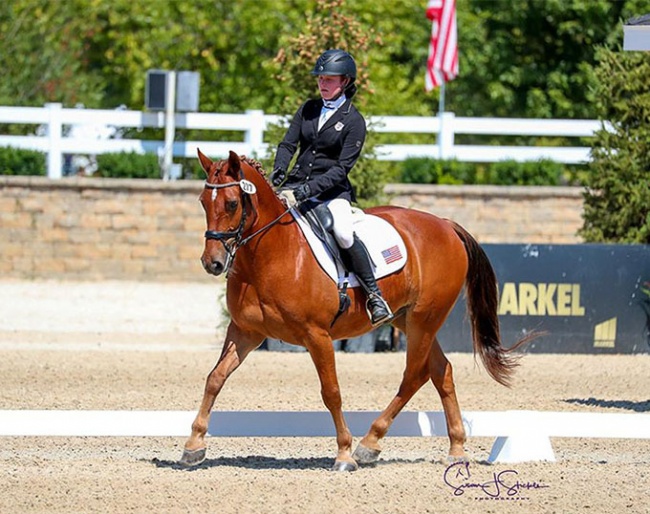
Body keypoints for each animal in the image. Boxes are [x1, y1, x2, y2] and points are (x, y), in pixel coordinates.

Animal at [178, 147, 532, 468]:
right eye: (203, 202)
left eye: (232, 203)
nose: (212, 263)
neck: (271, 254)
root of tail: (445, 224)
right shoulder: (245, 331)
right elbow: (215, 378)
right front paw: (193, 445)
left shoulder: (317, 336)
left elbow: (331, 391)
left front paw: (345, 453)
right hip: (407, 319)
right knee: (441, 372)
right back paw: (456, 449)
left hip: (425, 318)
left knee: (414, 375)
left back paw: (369, 444)